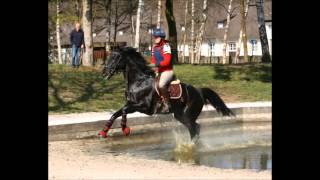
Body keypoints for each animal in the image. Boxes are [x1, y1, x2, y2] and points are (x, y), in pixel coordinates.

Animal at [99, 47, 234, 141]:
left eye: (115, 57)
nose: (104, 72)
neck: (139, 81)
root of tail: (199, 91)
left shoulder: (144, 107)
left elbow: (123, 111)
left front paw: (125, 128)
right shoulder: (131, 104)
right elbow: (116, 113)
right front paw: (104, 132)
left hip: (186, 115)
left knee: (194, 128)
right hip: (180, 115)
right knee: (196, 127)